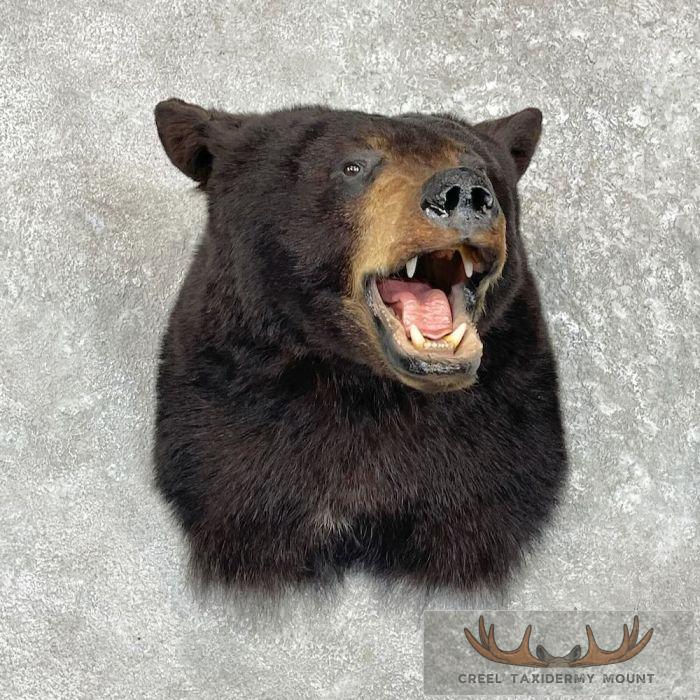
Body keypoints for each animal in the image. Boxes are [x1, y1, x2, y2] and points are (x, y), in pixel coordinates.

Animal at [153, 98, 568, 593]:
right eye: (353, 166)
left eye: (481, 166)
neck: (362, 387)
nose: (465, 192)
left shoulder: (496, 446)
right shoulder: (228, 429)